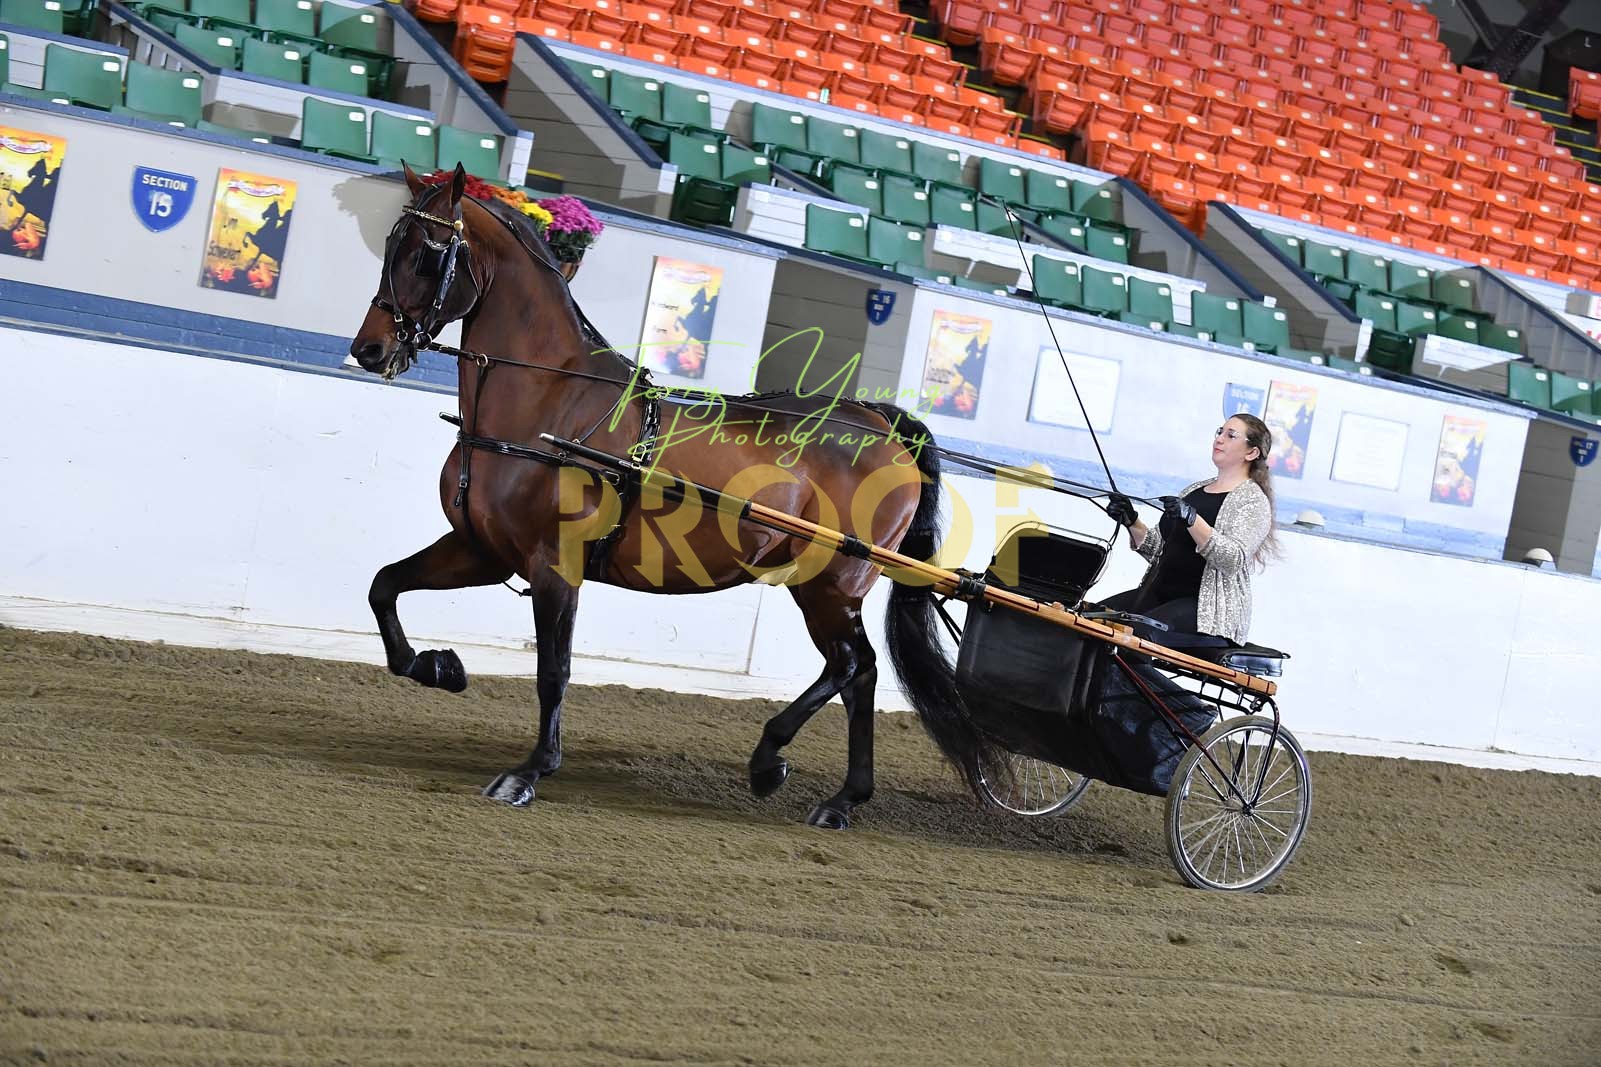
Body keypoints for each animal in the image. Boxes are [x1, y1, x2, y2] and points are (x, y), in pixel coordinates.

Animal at [347, 165, 1007, 828]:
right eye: (390, 243)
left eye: (428, 254)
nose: (369, 349)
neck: (549, 404)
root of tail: (880, 423)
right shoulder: (484, 550)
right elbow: (383, 586)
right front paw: (440, 667)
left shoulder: (555, 565)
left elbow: (553, 670)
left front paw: (529, 771)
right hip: (824, 588)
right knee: (858, 673)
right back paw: (841, 797)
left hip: (830, 583)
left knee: (852, 665)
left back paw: (775, 762)